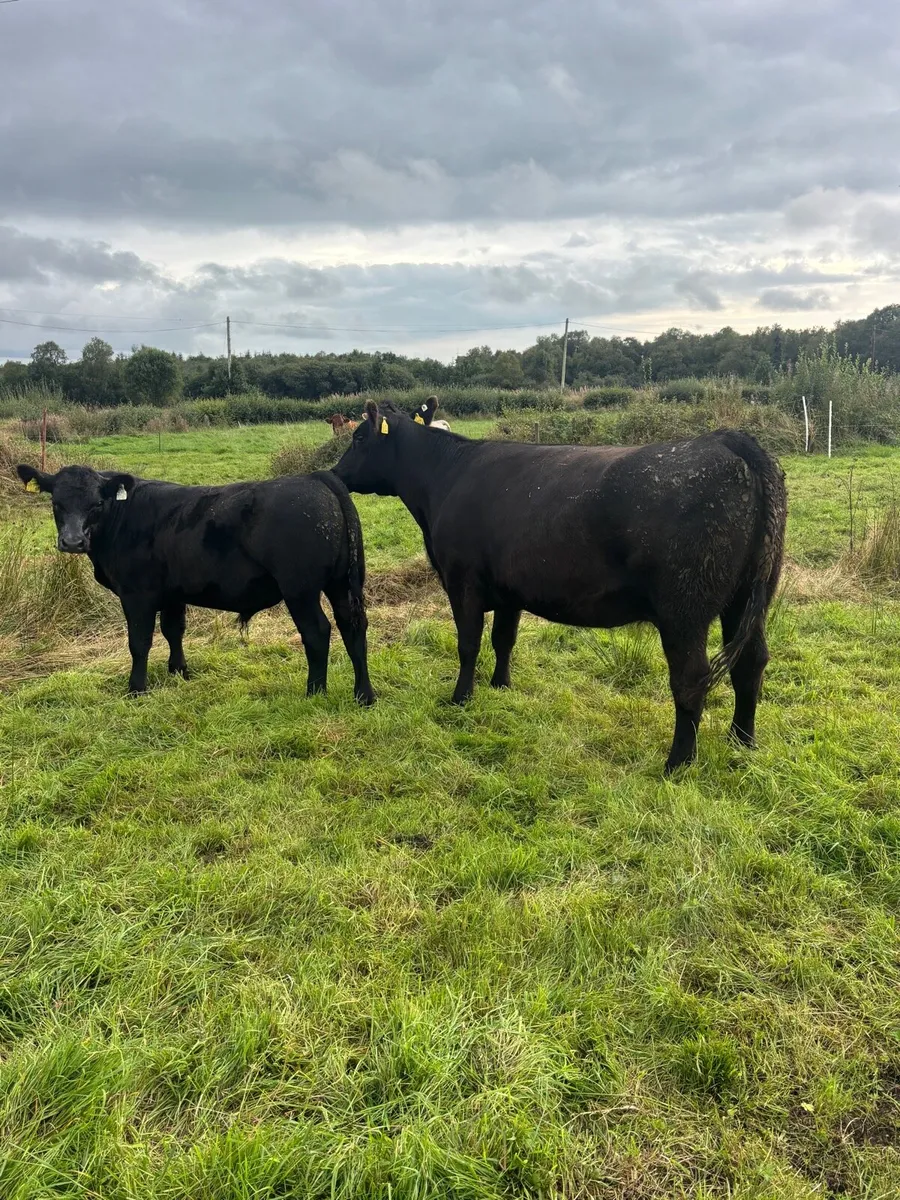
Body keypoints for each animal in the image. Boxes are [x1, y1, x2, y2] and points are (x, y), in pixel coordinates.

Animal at [16, 463, 376, 706]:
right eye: (56, 503)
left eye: (97, 504)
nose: (72, 541)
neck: (122, 517)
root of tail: (315, 477)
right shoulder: (173, 593)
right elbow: (173, 631)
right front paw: (180, 672)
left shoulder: (136, 594)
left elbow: (139, 642)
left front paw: (137, 688)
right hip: (341, 584)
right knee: (352, 627)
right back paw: (364, 694)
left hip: (299, 588)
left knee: (317, 631)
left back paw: (314, 691)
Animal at [333, 402, 786, 774]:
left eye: (358, 437)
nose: (336, 474)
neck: (445, 478)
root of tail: (727, 439)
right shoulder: (509, 590)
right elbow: (503, 639)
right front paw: (501, 686)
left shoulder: (462, 581)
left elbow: (468, 643)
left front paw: (461, 698)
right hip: (748, 599)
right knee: (751, 663)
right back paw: (742, 742)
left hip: (684, 610)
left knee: (691, 678)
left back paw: (678, 762)